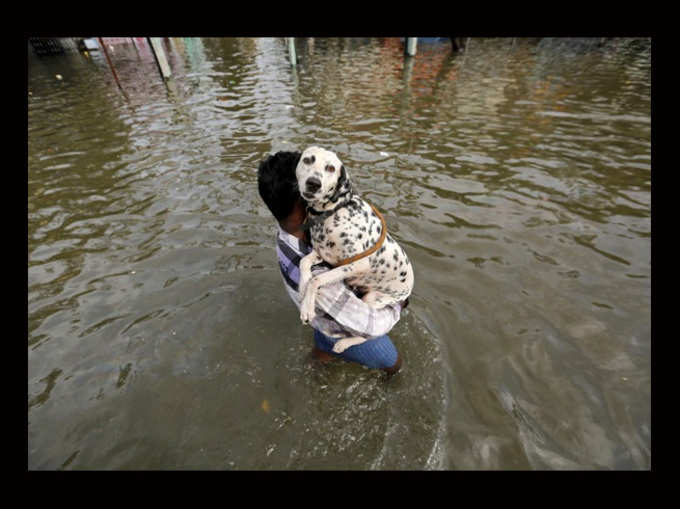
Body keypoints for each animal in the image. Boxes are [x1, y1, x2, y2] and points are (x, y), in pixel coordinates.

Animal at [294, 147, 412, 352]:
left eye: (331, 168)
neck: (333, 211)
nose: (313, 183)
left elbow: (317, 279)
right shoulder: (322, 254)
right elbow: (303, 263)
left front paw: (307, 308)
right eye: (308, 160)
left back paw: (343, 343)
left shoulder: (357, 264)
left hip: (373, 298)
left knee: (368, 335)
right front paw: (302, 287)